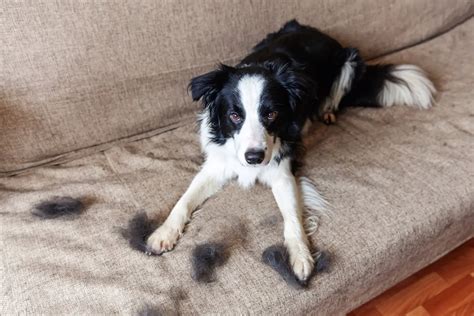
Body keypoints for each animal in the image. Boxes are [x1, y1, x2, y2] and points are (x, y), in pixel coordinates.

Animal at [145, 19, 436, 282]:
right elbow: (184, 200)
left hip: (350, 61)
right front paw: (163, 233)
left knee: (336, 95)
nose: (254, 158)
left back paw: (327, 110)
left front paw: (301, 257)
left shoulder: (283, 172)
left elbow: (291, 218)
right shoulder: (218, 163)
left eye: (271, 113)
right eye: (234, 115)